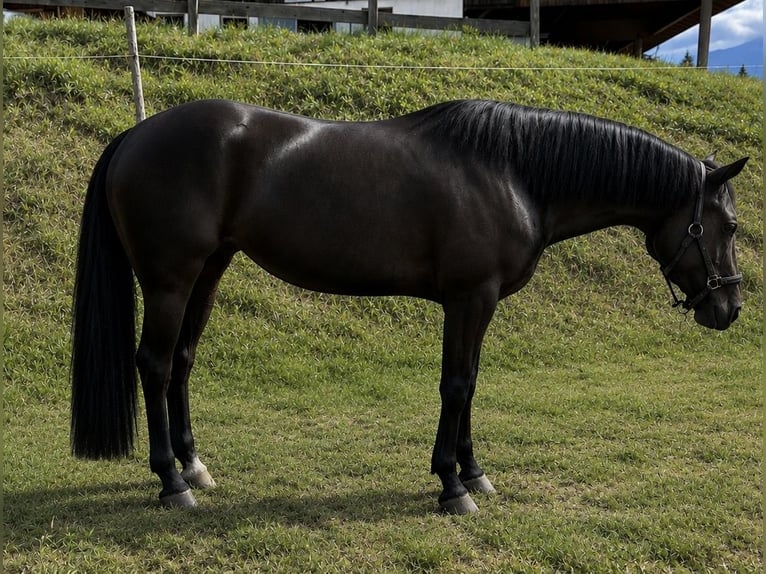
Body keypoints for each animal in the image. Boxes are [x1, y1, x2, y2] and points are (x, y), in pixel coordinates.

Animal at [70, 99, 748, 514]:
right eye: (730, 225)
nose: (730, 307)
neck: (513, 171)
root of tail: (135, 135)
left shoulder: (479, 303)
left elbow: (471, 381)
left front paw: (474, 473)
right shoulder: (469, 298)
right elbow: (456, 384)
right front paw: (452, 485)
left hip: (208, 272)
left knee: (182, 361)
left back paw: (195, 466)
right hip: (169, 280)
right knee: (156, 365)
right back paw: (170, 482)